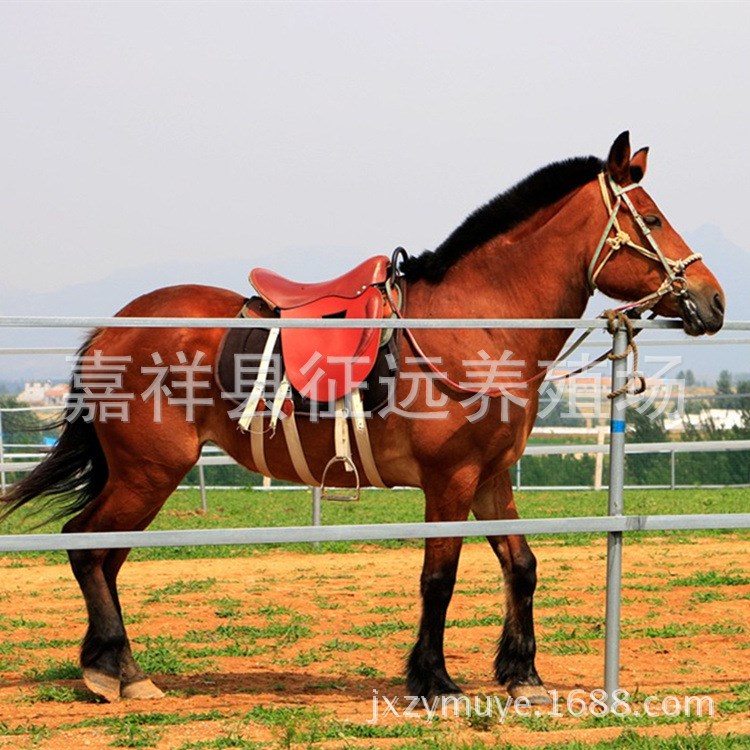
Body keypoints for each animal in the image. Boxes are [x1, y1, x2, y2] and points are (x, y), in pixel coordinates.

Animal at [1, 134, 728, 704]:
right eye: (653, 218)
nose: (715, 300)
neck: (475, 324)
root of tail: (110, 330)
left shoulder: (492, 477)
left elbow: (521, 564)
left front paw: (521, 674)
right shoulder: (450, 481)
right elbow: (439, 578)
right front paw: (433, 680)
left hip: (145, 477)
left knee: (104, 555)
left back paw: (116, 667)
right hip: (149, 472)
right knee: (86, 545)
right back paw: (113, 671)